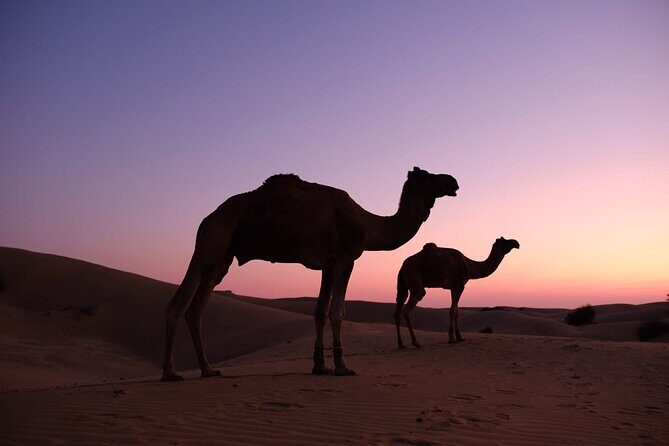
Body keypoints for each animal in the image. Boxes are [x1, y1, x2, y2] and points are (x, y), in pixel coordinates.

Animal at [162, 167, 459, 380]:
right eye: (428, 176)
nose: (453, 181)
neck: (367, 223)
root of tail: (207, 218)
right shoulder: (345, 259)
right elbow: (337, 312)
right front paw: (342, 366)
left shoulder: (328, 265)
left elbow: (319, 312)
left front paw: (320, 366)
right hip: (211, 243)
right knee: (178, 303)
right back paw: (171, 372)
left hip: (221, 259)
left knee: (196, 309)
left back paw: (208, 369)